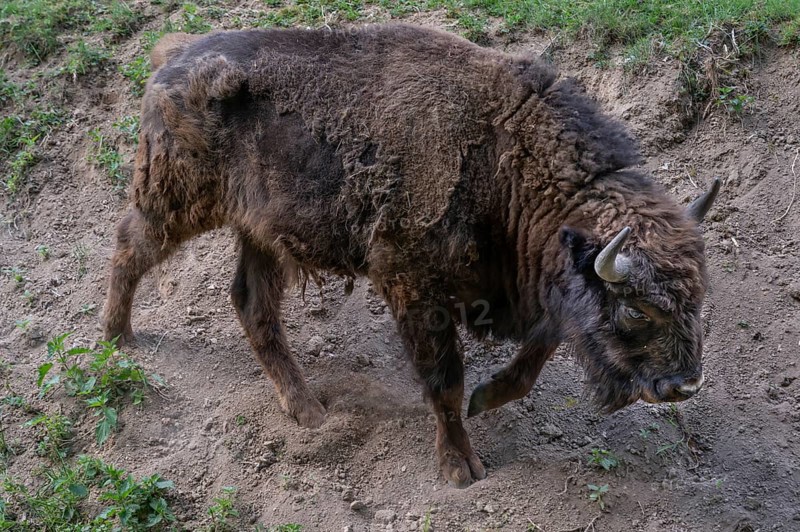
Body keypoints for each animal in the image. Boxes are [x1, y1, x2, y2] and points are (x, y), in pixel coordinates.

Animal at [103, 24, 719, 487]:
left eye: (699, 298)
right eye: (636, 310)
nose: (684, 385)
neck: (506, 158)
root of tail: (172, 57)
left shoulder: (536, 293)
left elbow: (530, 361)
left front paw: (486, 400)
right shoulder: (413, 287)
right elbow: (444, 380)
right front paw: (460, 467)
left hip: (261, 234)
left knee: (252, 305)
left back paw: (308, 411)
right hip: (175, 204)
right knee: (129, 246)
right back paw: (117, 337)